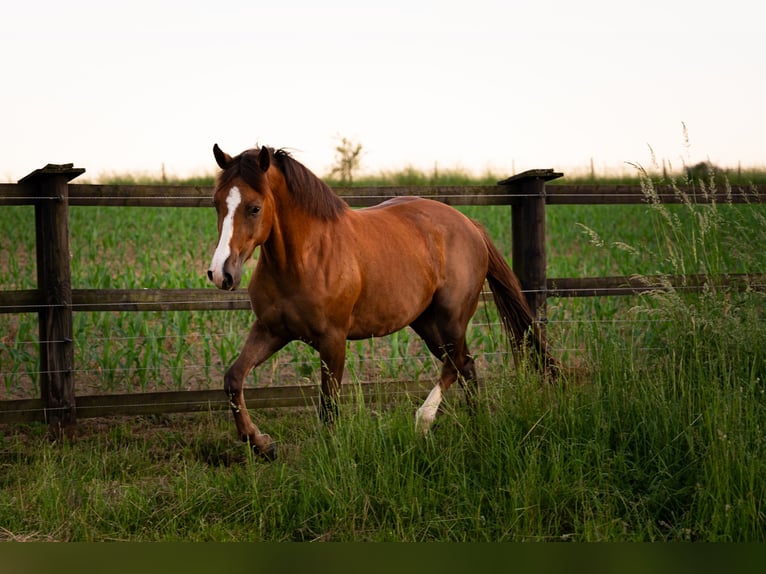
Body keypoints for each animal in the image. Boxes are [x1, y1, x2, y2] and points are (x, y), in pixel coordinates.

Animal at [207, 144, 557, 459]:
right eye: (217, 204)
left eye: (254, 207)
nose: (221, 274)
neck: (304, 258)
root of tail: (469, 224)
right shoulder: (271, 330)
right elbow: (233, 379)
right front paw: (261, 444)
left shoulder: (333, 340)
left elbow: (329, 406)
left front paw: (333, 456)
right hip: (426, 322)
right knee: (465, 364)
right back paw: (475, 425)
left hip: (452, 316)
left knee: (456, 362)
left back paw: (423, 421)